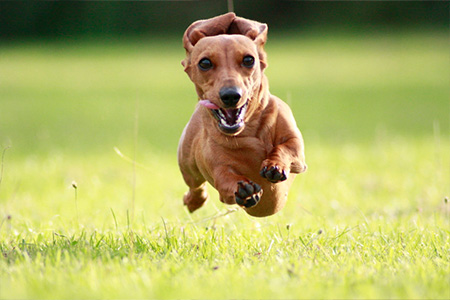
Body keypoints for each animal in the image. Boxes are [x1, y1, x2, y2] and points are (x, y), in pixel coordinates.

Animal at [178, 12, 308, 217]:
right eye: (205, 63)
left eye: (248, 60)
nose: (231, 95)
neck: (248, 132)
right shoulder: (219, 171)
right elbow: (226, 180)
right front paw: (244, 191)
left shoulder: (296, 148)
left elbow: (286, 148)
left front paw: (275, 164)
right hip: (188, 167)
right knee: (196, 187)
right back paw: (193, 201)